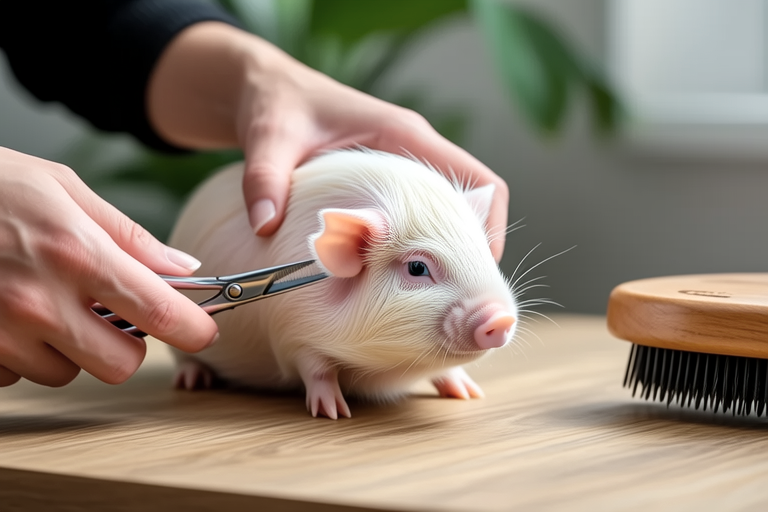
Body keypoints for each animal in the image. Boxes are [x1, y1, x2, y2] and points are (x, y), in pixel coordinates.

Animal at [168, 149, 517, 419]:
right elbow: (317, 369)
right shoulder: (292, 332)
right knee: (185, 359)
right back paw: (192, 382)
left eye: (485, 250)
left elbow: (446, 370)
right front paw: (334, 412)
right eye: (417, 267)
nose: (500, 318)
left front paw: (469, 393)